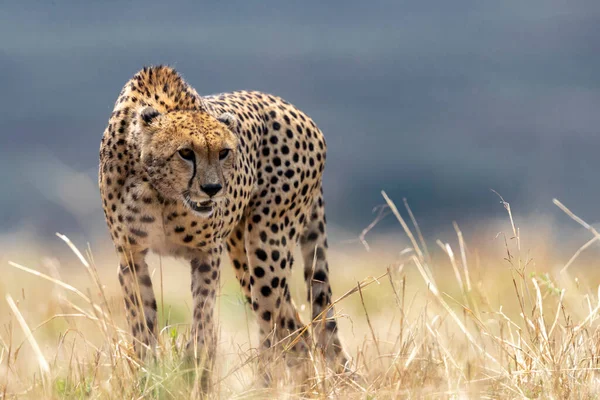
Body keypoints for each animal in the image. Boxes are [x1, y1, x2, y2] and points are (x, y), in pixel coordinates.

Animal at [99, 65, 346, 378]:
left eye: (224, 152)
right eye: (186, 152)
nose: (213, 188)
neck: (161, 191)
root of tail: (300, 114)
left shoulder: (207, 254)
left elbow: (203, 324)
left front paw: (194, 370)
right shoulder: (131, 256)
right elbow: (142, 325)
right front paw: (148, 376)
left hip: (266, 247)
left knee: (273, 325)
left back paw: (264, 382)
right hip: (242, 254)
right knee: (295, 332)